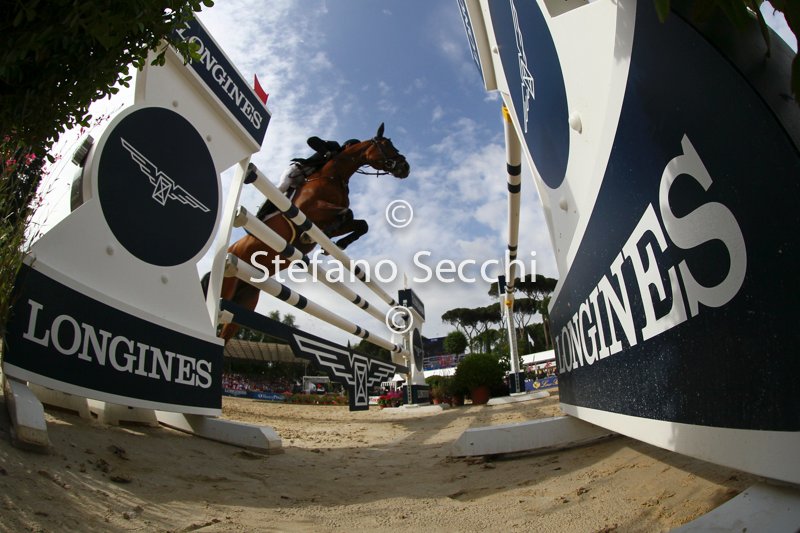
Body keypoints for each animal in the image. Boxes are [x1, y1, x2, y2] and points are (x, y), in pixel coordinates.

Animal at [218, 123, 410, 342]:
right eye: (386, 145)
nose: (406, 167)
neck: (334, 176)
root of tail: (230, 252)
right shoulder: (310, 211)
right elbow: (347, 213)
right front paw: (311, 236)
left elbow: (361, 224)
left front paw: (338, 243)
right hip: (229, 284)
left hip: (247, 297)